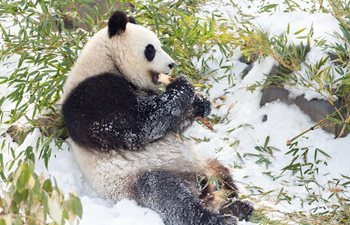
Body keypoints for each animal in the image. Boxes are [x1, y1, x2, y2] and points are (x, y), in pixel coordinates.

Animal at [62, 10, 254, 225]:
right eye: (151, 49)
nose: (172, 64)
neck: (106, 58)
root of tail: (204, 190)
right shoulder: (92, 96)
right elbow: (138, 126)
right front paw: (182, 84)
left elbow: (171, 124)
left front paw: (200, 104)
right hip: (142, 176)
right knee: (168, 195)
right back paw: (217, 218)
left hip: (202, 163)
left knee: (222, 174)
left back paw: (238, 206)